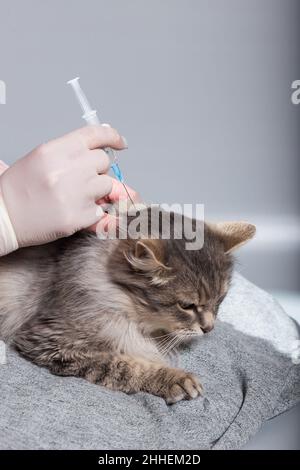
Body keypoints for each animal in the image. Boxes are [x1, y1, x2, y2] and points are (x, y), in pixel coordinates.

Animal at [0, 209, 255, 404]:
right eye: (187, 306)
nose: (209, 329)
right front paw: (175, 380)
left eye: (220, 300)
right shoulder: (50, 341)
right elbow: (123, 365)